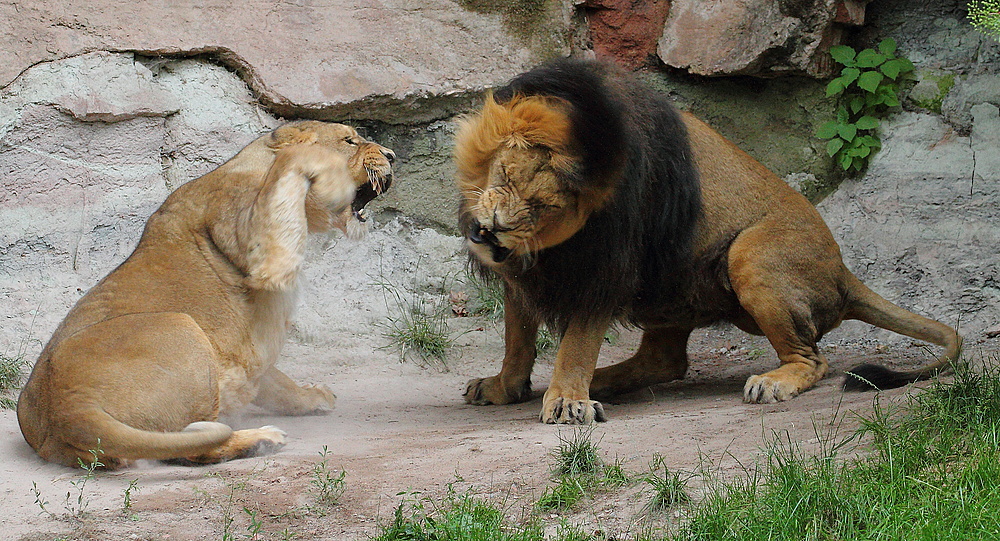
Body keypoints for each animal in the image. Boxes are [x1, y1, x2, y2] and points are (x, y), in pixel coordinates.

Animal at [16, 121, 394, 464]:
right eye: (349, 141)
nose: (391, 155)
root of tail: (68, 406)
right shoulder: (250, 237)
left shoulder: (250, 355)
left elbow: (276, 381)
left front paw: (312, 397)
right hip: (180, 326)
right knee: (189, 448)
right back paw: (261, 440)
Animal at [456, 58, 960, 422]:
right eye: (505, 175)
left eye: (543, 208)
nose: (494, 227)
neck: (543, 250)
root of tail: (844, 272)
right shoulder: (525, 272)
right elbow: (516, 337)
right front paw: (504, 386)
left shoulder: (606, 267)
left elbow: (577, 342)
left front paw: (566, 401)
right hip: (669, 283)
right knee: (665, 360)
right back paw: (603, 380)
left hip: (750, 256)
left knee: (813, 359)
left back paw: (772, 382)